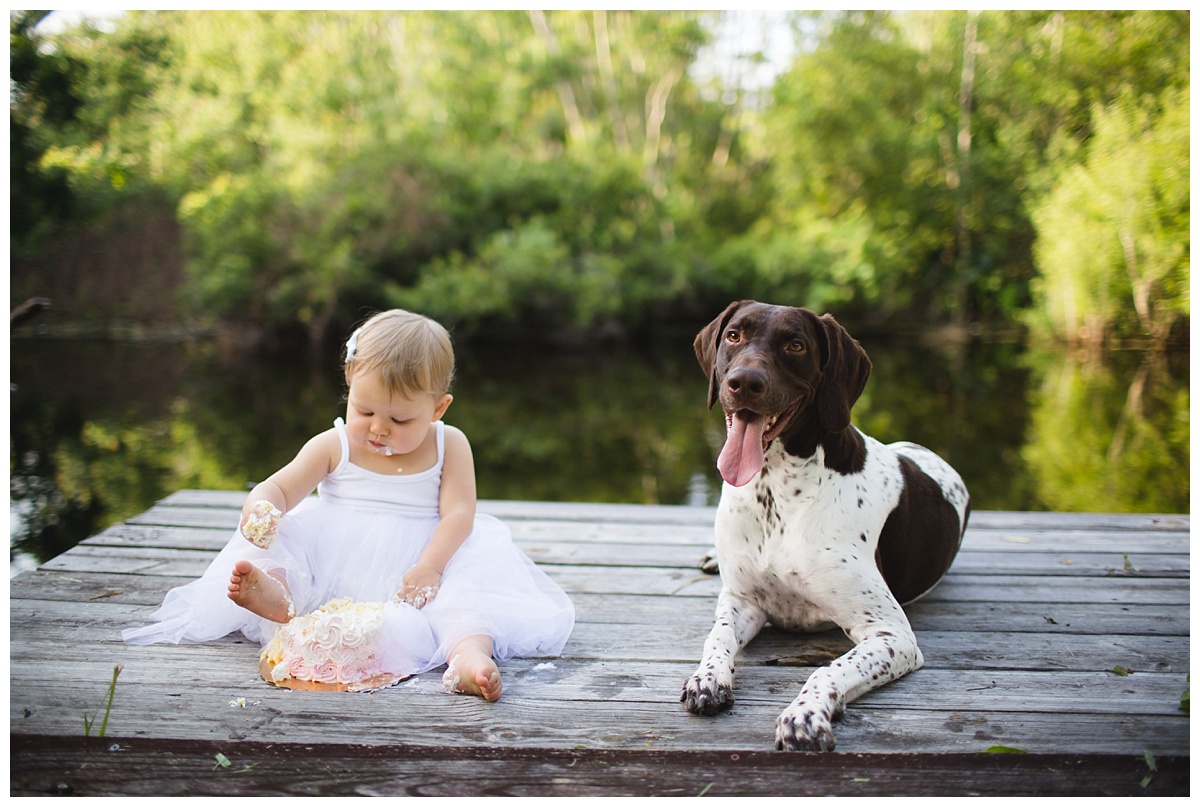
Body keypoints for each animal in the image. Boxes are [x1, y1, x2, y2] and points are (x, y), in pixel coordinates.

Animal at [681, 301, 969, 749]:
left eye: (796, 345)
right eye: (733, 336)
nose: (743, 382)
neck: (775, 492)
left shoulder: (891, 634)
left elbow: (827, 668)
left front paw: (804, 714)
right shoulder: (742, 600)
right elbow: (718, 636)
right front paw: (707, 678)